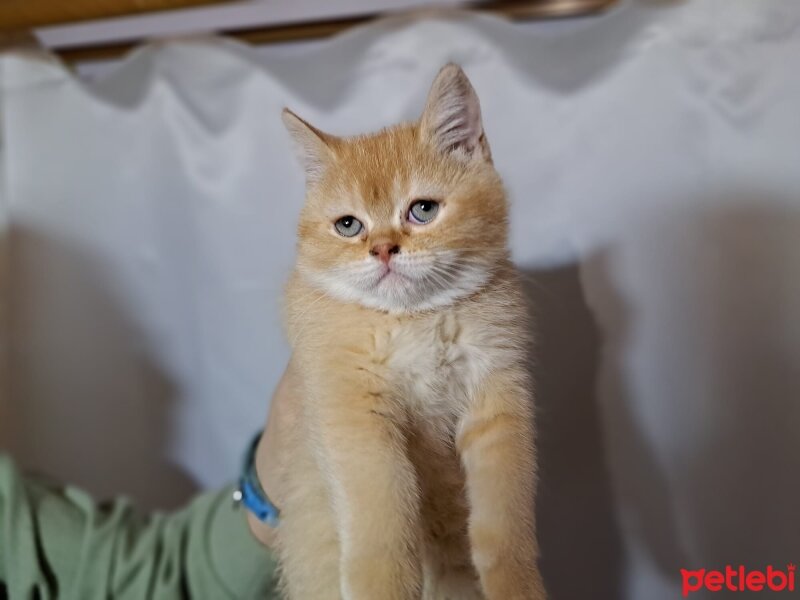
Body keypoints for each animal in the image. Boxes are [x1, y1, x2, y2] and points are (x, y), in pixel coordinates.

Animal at [274, 63, 544, 596]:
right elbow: (381, 510)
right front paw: (382, 586)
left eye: (423, 210)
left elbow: (504, 519)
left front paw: (517, 584)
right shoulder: (351, 411)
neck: (416, 320)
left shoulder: (498, 397)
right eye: (348, 225)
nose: (382, 249)